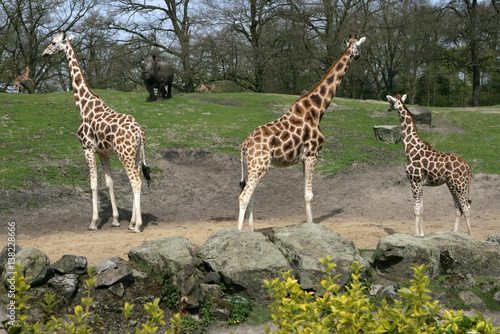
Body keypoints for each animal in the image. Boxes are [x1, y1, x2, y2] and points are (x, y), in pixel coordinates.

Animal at [42, 32, 151, 234]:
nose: (44, 53)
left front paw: (93, 222)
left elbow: (93, 185)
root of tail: (139, 132)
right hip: (138, 154)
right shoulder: (102, 152)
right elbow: (109, 182)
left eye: (53, 42)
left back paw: (137, 226)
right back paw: (132, 222)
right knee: (137, 179)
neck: (84, 107)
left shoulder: (87, 148)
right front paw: (115, 219)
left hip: (125, 154)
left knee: (136, 181)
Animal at [236, 35, 366, 231]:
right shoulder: (313, 153)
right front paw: (312, 227)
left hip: (253, 167)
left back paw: (251, 232)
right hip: (260, 165)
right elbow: (309, 195)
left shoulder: (304, 158)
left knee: (250, 196)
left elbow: (305, 194)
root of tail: (245, 144)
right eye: (358, 48)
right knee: (244, 197)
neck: (318, 109)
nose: (358, 56)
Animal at [384, 92, 470, 236]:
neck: (410, 149)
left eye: (391, 101)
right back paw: (454, 234)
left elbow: (416, 209)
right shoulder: (421, 183)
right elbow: (422, 208)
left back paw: (470, 236)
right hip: (452, 185)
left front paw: (416, 234)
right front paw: (422, 234)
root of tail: (468, 167)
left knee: (466, 207)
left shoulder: (415, 180)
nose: (388, 109)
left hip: (460, 185)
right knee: (458, 208)